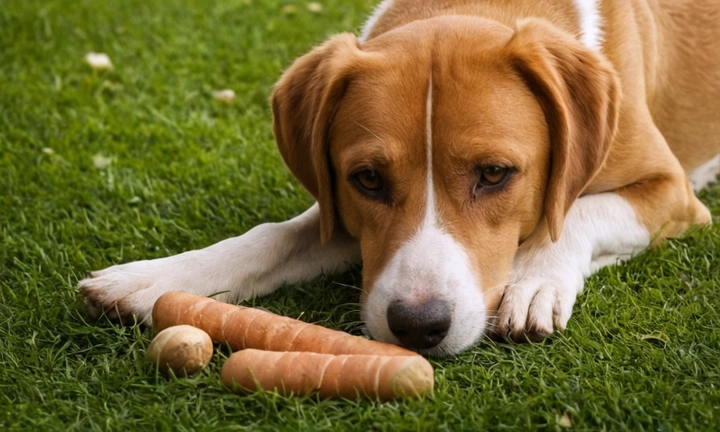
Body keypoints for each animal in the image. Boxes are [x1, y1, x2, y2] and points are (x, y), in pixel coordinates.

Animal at [76, 0, 716, 358]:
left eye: (494, 174)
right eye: (367, 179)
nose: (418, 325)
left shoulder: (673, 193)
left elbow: (577, 211)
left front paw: (535, 281)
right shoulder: (341, 209)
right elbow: (274, 236)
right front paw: (153, 278)